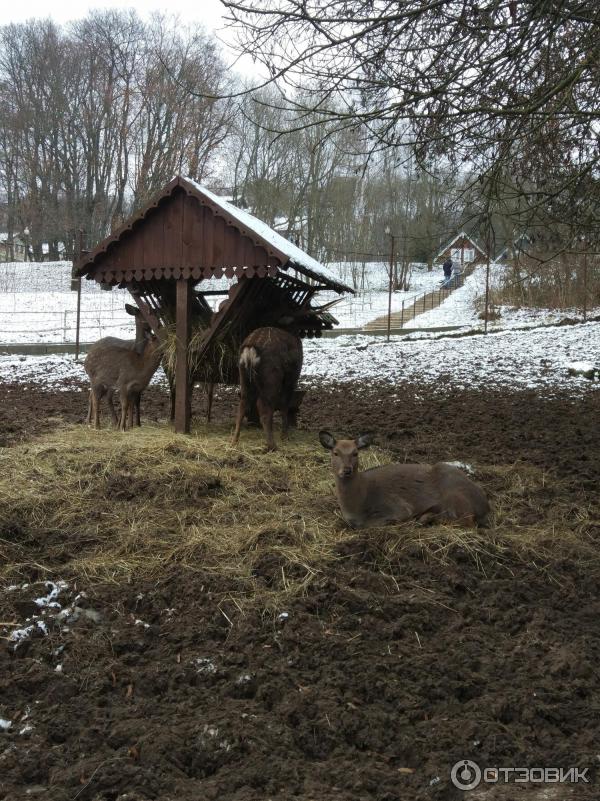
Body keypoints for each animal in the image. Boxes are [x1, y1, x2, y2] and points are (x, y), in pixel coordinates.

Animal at [316, 428, 490, 528]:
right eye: (335, 452)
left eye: (355, 453)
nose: (347, 470)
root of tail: (486, 506)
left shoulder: (398, 506)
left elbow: (371, 524)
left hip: (454, 494)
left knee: (467, 521)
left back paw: (424, 518)